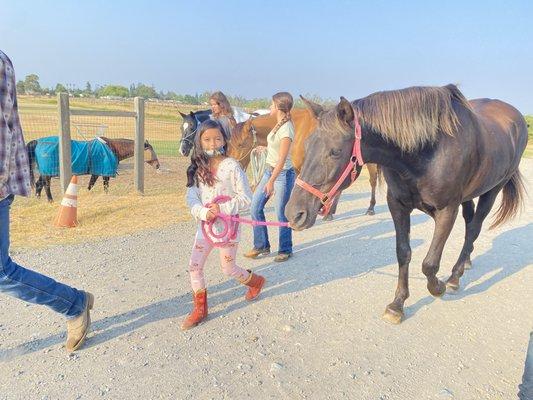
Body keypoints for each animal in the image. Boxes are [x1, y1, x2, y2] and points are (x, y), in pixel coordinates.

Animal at [227, 104, 380, 214]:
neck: (296, 127)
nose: (232, 164)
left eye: (240, 144)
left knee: (373, 181)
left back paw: (370, 208)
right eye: (229, 143)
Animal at [284, 85, 524, 324]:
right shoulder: (398, 205)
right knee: (469, 224)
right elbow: (403, 253)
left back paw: (455, 277)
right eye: (307, 144)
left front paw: (438, 287)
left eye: (335, 152)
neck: (427, 151)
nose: (293, 214)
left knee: (474, 228)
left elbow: (429, 263)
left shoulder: (447, 210)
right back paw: (465, 263)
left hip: (492, 190)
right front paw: (397, 305)